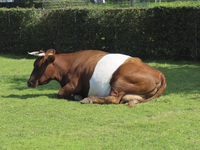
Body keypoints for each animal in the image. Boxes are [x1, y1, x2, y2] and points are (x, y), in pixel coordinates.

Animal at [27, 49, 166, 106]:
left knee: (112, 99)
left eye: (37, 65)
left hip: (119, 80)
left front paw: (77, 97)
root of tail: (159, 73)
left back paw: (89, 99)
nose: (29, 82)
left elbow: (60, 93)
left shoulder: (73, 84)